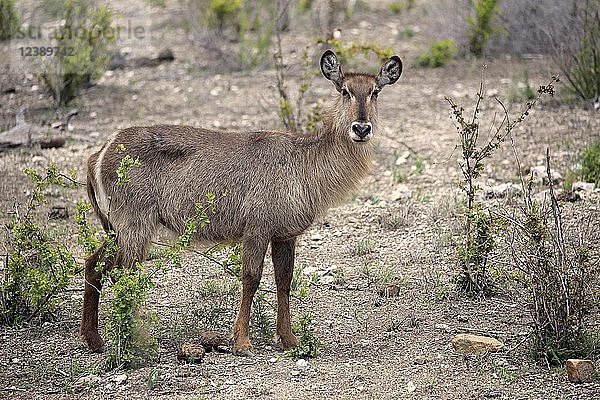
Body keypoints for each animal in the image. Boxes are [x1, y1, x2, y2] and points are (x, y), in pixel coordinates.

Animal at [78, 50, 398, 356]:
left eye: (375, 91)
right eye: (344, 90)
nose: (361, 128)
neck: (304, 164)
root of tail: (100, 152)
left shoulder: (285, 235)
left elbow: (284, 280)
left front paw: (289, 340)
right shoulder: (256, 229)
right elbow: (251, 278)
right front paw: (241, 342)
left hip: (117, 229)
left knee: (94, 263)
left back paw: (94, 340)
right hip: (135, 226)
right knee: (124, 274)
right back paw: (138, 340)